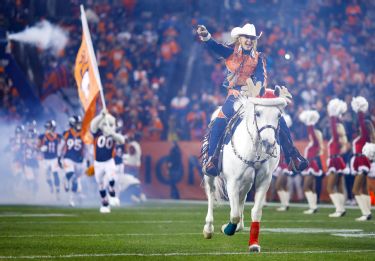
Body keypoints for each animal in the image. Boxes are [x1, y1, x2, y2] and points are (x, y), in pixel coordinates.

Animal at [203, 88, 288, 251]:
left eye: (279, 115)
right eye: (258, 113)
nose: (268, 143)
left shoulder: (263, 181)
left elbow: (256, 212)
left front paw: (254, 244)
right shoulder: (232, 182)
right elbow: (234, 214)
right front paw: (226, 229)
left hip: (247, 182)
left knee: (241, 198)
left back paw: (239, 227)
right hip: (210, 175)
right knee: (211, 195)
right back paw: (209, 229)